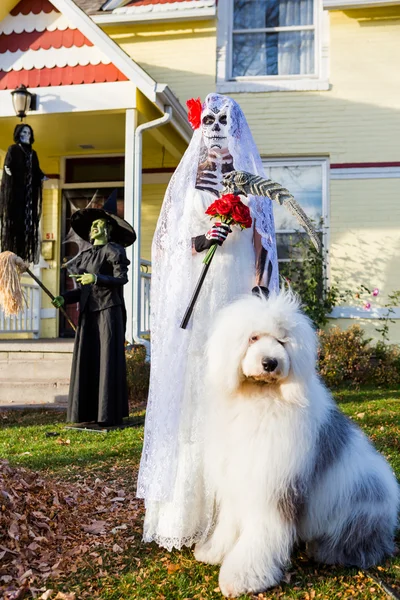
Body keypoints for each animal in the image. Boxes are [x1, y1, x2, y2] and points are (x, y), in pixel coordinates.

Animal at [194, 290, 396, 596]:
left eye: (282, 341)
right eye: (253, 337)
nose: (270, 363)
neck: (261, 397)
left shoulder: (273, 486)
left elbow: (260, 535)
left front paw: (242, 578)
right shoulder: (236, 478)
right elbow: (228, 523)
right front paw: (214, 552)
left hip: (358, 510)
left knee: (361, 546)